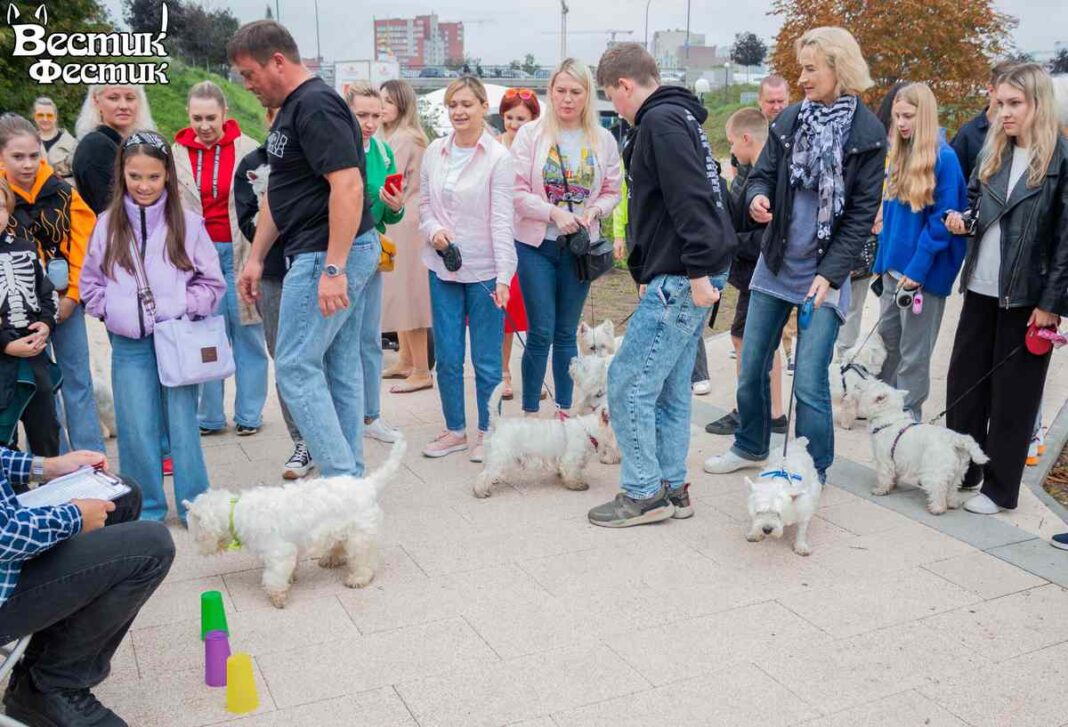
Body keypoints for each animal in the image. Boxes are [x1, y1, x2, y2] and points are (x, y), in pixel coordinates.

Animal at [182, 437, 403, 606]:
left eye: (195, 534)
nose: (198, 551)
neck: (236, 511)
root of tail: (367, 485)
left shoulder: (279, 552)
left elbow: (273, 577)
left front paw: (278, 597)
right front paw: (290, 579)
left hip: (359, 536)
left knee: (364, 560)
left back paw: (358, 578)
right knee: (340, 545)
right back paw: (331, 558)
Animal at [474, 382, 619, 495]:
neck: (587, 429)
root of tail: (498, 422)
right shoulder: (571, 459)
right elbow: (572, 473)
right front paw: (577, 484)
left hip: (494, 455)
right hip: (501, 456)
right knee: (484, 475)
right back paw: (481, 491)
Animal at [854, 382, 986, 512]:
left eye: (871, 383)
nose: (857, 384)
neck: (889, 419)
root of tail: (953, 439)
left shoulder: (884, 460)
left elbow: (884, 476)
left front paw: (880, 490)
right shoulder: (897, 461)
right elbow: (895, 475)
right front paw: (893, 485)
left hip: (935, 470)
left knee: (938, 489)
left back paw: (937, 508)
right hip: (958, 472)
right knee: (952, 488)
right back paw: (952, 504)